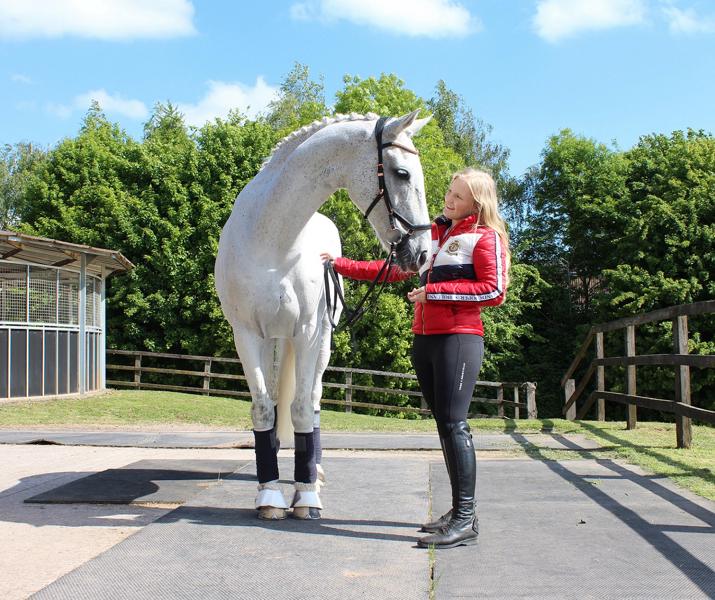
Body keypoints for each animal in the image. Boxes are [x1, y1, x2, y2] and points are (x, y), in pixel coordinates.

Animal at [215, 110, 430, 516]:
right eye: (402, 173)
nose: (423, 253)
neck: (273, 239)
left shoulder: (309, 333)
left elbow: (301, 409)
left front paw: (306, 497)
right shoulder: (247, 335)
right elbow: (264, 409)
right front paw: (269, 495)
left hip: (322, 343)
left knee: (312, 401)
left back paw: (313, 475)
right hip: (276, 342)